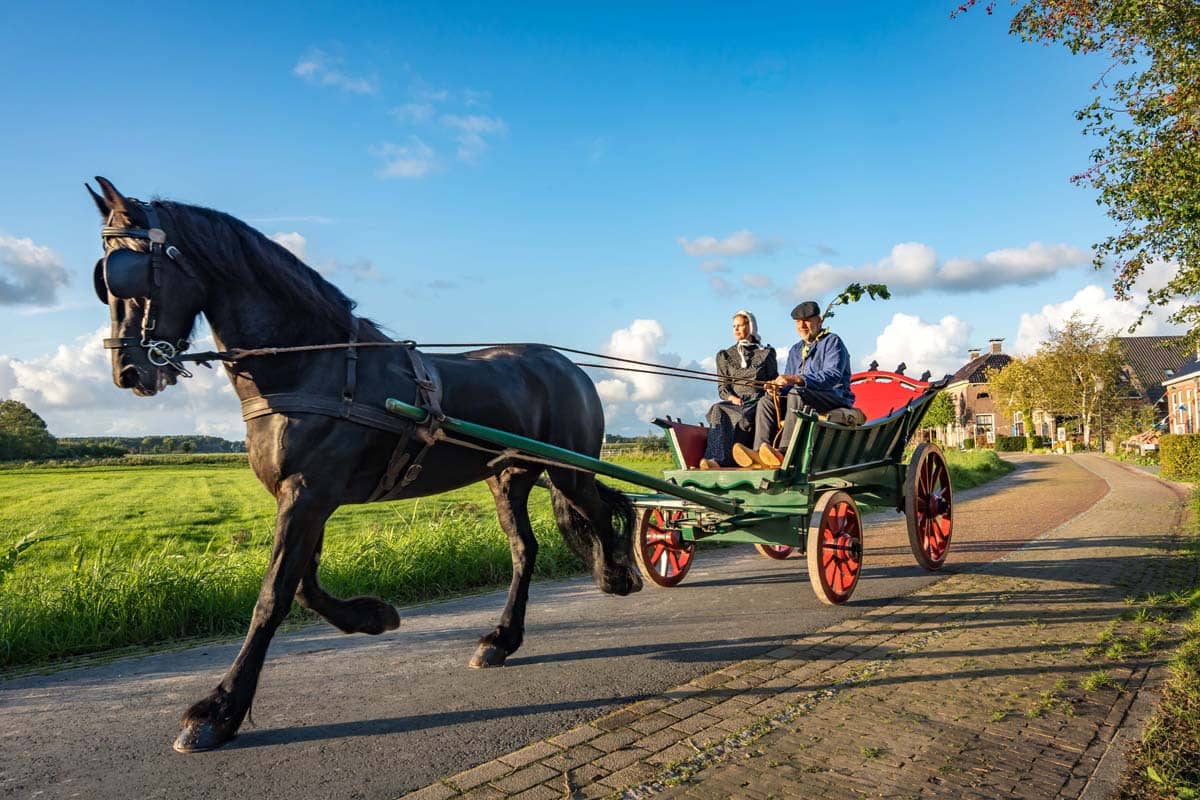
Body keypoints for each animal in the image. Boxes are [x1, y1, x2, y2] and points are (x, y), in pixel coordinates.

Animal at [87, 178, 643, 753]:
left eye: (130, 270)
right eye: (103, 282)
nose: (128, 371)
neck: (313, 365)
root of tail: (568, 365)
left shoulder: (309, 494)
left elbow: (273, 595)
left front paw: (219, 709)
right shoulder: (305, 497)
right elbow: (303, 586)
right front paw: (374, 616)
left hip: (569, 470)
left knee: (603, 512)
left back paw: (618, 572)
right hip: (508, 477)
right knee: (524, 548)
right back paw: (502, 638)